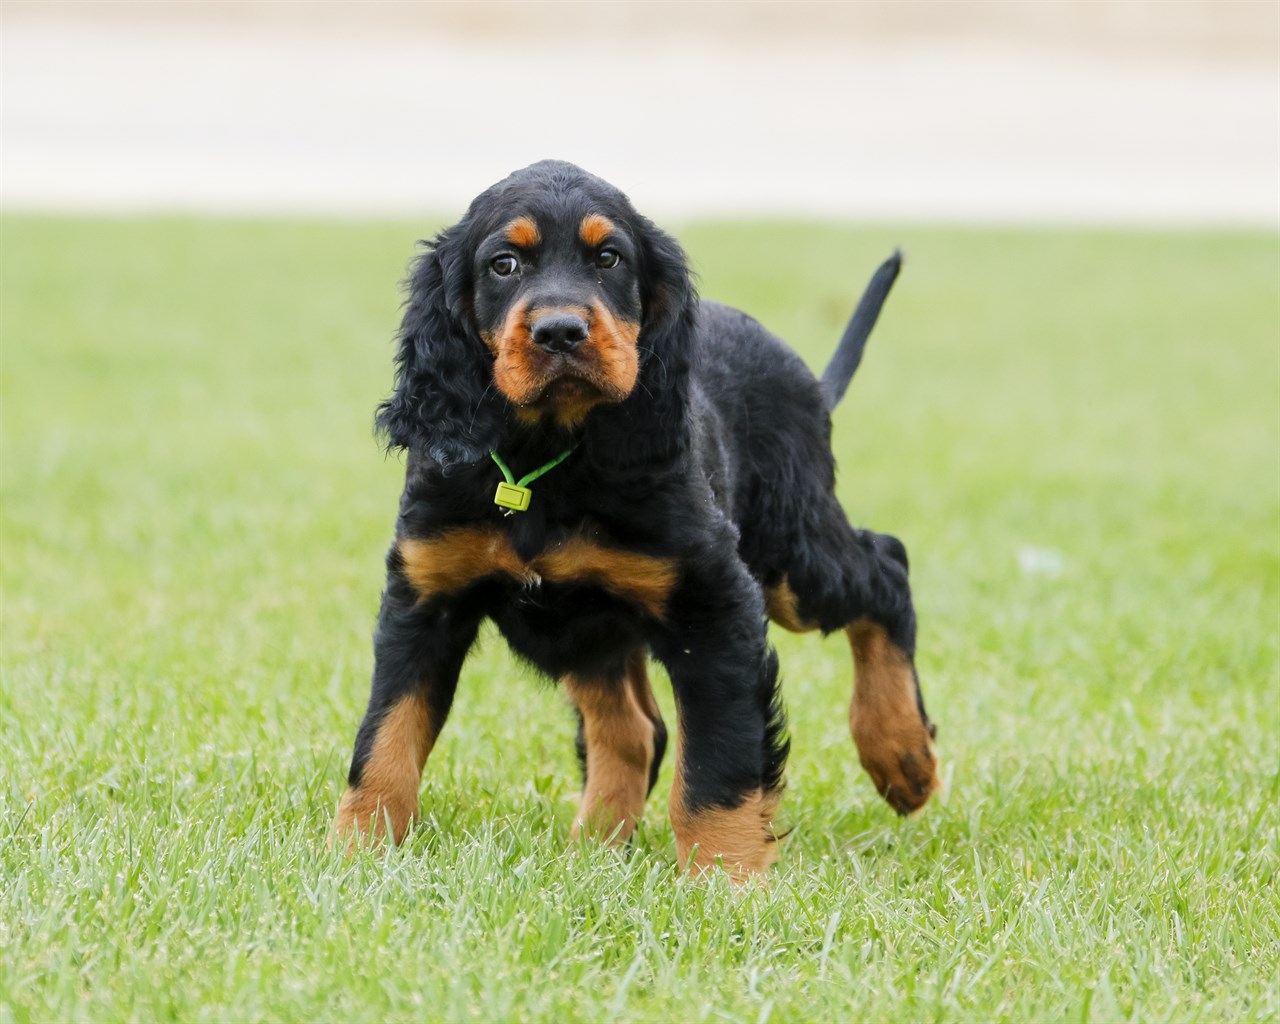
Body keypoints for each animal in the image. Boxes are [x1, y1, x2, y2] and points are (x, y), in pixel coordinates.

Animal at [335, 160, 942, 880]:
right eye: (503, 264)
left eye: (610, 258)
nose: (560, 332)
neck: (546, 463)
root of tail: (808, 381)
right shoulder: (426, 595)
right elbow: (386, 737)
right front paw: (354, 855)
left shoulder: (714, 602)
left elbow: (718, 760)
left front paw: (725, 877)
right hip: (592, 625)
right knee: (632, 728)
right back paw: (591, 852)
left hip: (789, 557)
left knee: (886, 566)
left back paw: (901, 756)